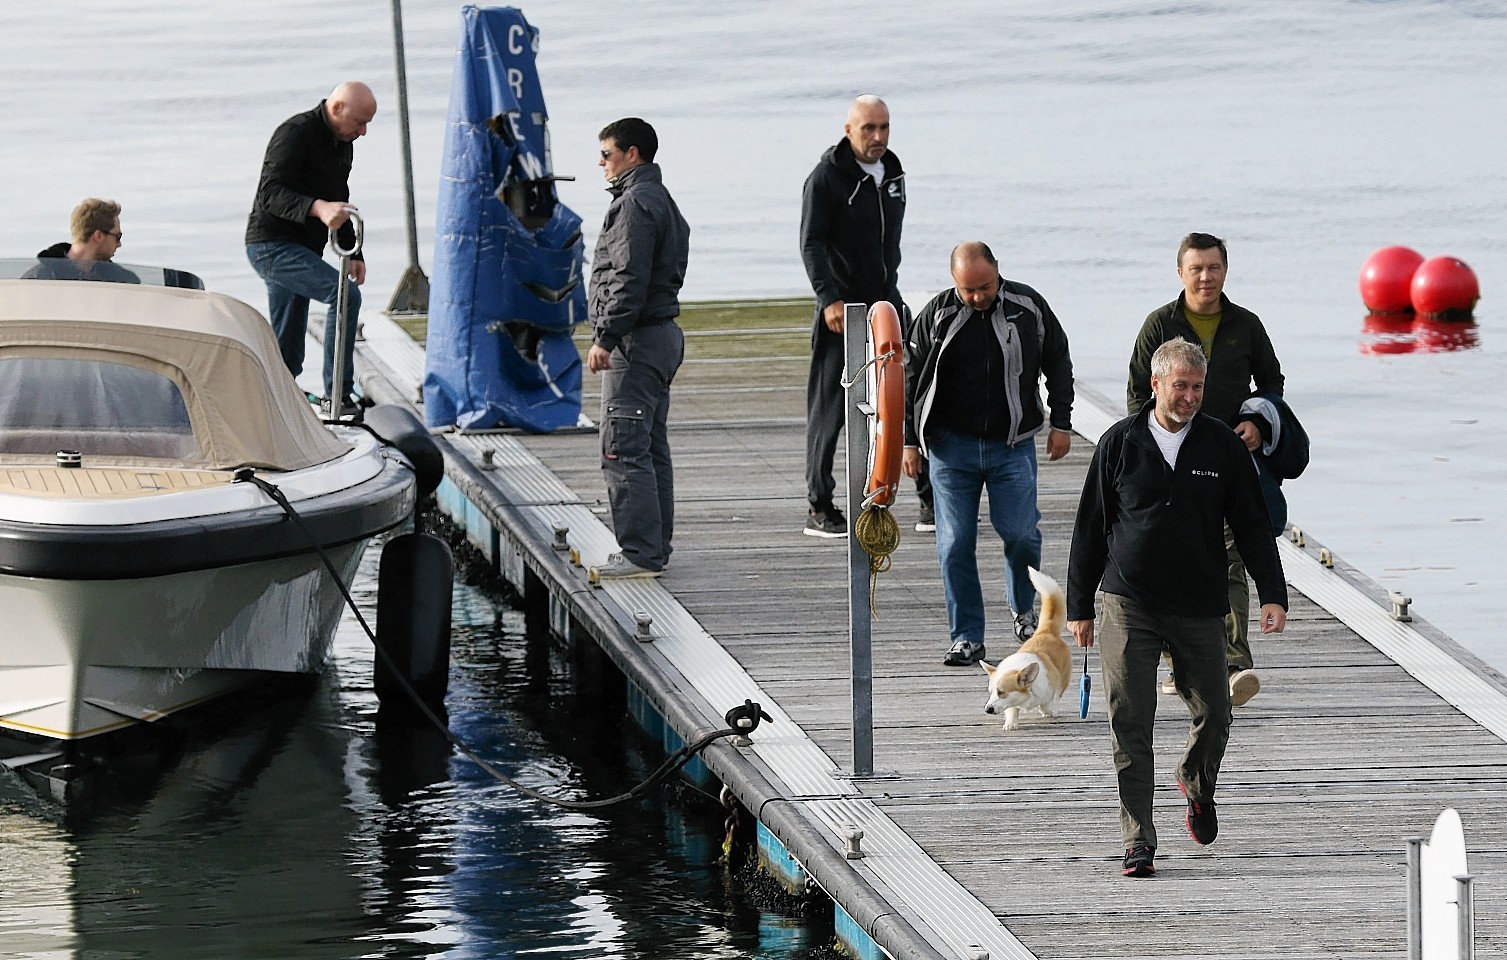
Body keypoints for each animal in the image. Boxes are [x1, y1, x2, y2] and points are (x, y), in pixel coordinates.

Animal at [982, 566, 1079, 729]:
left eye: (1001, 692)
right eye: (991, 692)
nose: (988, 709)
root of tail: (1046, 631)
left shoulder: (1049, 693)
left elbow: (1047, 704)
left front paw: (1047, 712)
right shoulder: (1012, 705)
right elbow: (1012, 709)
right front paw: (1010, 724)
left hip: (1064, 679)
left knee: (1058, 693)